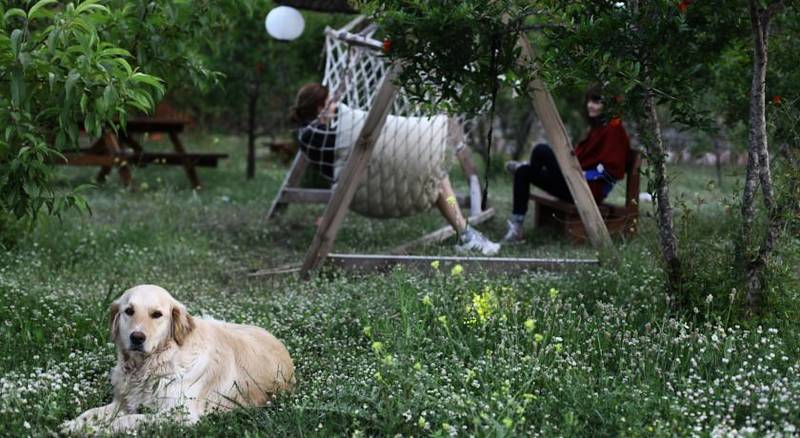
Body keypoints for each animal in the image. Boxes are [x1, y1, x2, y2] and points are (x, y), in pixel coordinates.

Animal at [61, 286, 294, 432]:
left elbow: (126, 420)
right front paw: (74, 425)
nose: (137, 337)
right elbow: (90, 413)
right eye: (129, 311)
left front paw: (101, 430)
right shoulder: (122, 402)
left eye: (157, 314)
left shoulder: (181, 415)